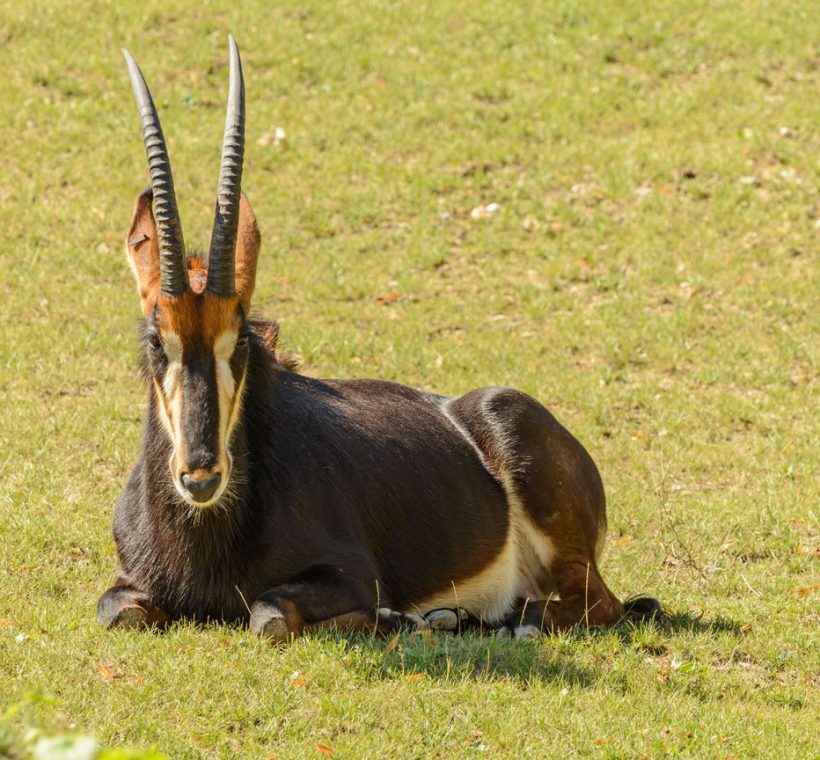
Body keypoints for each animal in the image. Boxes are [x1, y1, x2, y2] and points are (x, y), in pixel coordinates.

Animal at [97, 36, 660, 642]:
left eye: (240, 339)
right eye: (158, 340)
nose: (201, 475)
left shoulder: (350, 575)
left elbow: (269, 615)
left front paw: (391, 616)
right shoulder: (129, 583)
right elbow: (117, 611)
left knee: (600, 605)